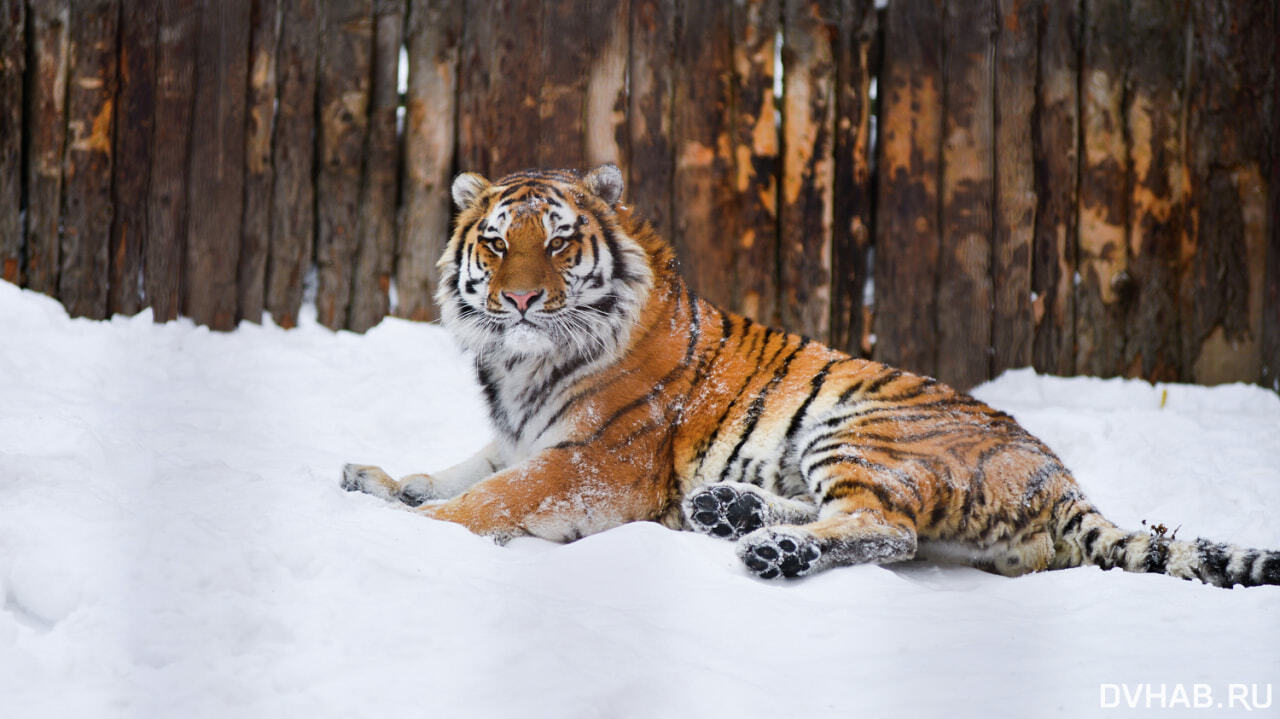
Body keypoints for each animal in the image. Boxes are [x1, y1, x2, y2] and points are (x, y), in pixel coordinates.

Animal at [340, 163, 1280, 588]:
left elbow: (494, 496)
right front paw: (377, 480)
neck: (520, 364)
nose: (522, 298)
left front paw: (416, 527)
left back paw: (771, 545)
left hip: (863, 427)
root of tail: (1064, 483)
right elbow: (455, 468)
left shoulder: (596, 460)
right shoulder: (515, 438)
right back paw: (730, 510)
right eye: (498, 242)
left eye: (561, 242)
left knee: (887, 528)